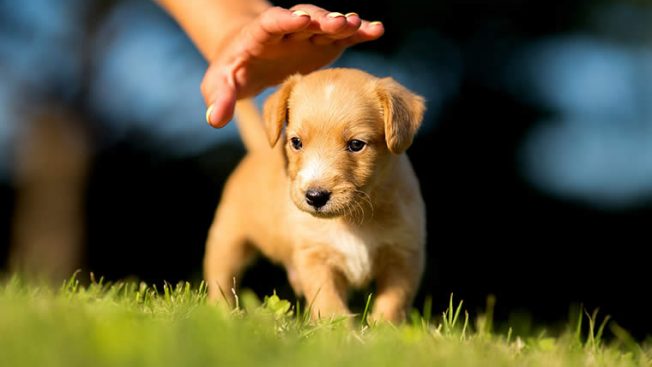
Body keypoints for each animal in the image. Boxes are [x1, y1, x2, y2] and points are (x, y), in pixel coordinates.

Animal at [205, 67, 428, 324]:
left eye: (356, 144)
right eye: (296, 142)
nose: (315, 196)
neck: (353, 220)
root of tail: (259, 149)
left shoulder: (404, 256)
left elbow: (392, 303)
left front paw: (383, 330)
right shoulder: (315, 258)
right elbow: (329, 304)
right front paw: (340, 331)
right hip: (227, 238)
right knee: (221, 279)